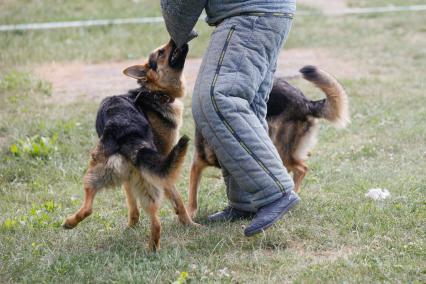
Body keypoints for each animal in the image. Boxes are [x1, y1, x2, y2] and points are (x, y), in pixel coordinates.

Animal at [62, 40, 198, 251]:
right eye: (161, 52)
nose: (175, 40)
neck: (154, 93)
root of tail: (126, 132)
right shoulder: (163, 163)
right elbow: (176, 199)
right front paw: (187, 222)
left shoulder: (134, 177)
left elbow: (132, 204)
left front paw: (132, 226)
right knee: (155, 219)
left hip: (95, 174)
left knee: (89, 208)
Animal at [188, 66, 348, 217]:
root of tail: (305, 102)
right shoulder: (196, 165)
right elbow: (192, 195)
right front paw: (191, 214)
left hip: (279, 147)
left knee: (302, 168)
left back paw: (293, 194)